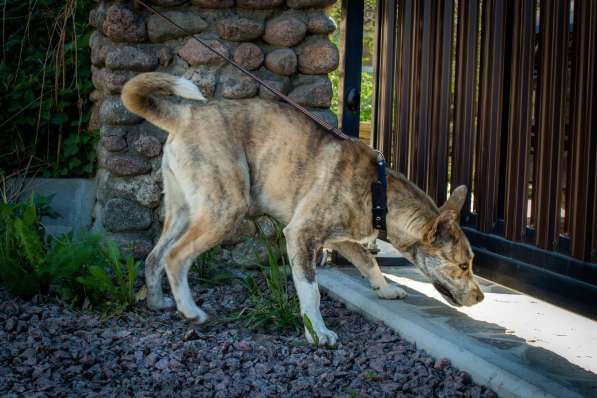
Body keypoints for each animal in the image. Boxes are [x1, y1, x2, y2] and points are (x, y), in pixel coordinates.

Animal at [122, 73, 484, 346]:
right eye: (462, 266)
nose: (480, 298)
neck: (378, 190)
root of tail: (187, 115)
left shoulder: (342, 240)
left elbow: (368, 263)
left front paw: (386, 290)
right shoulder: (301, 235)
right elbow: (311, 290)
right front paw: (318, 333)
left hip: (183, 212)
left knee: (155, 256)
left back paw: (157, 301)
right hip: (224, 210)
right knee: (175, 257)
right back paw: (190, 311)